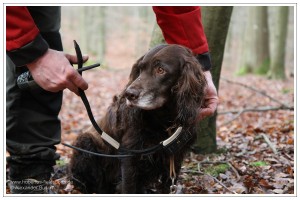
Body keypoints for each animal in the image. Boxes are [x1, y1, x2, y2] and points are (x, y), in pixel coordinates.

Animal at [69, 44, 207, 194]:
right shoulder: (130, 154)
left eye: (160, 70)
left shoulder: (175, 157)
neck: (164, 119)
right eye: (140, 69)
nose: (129, 94)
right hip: (85, 142)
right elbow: (129, 187)